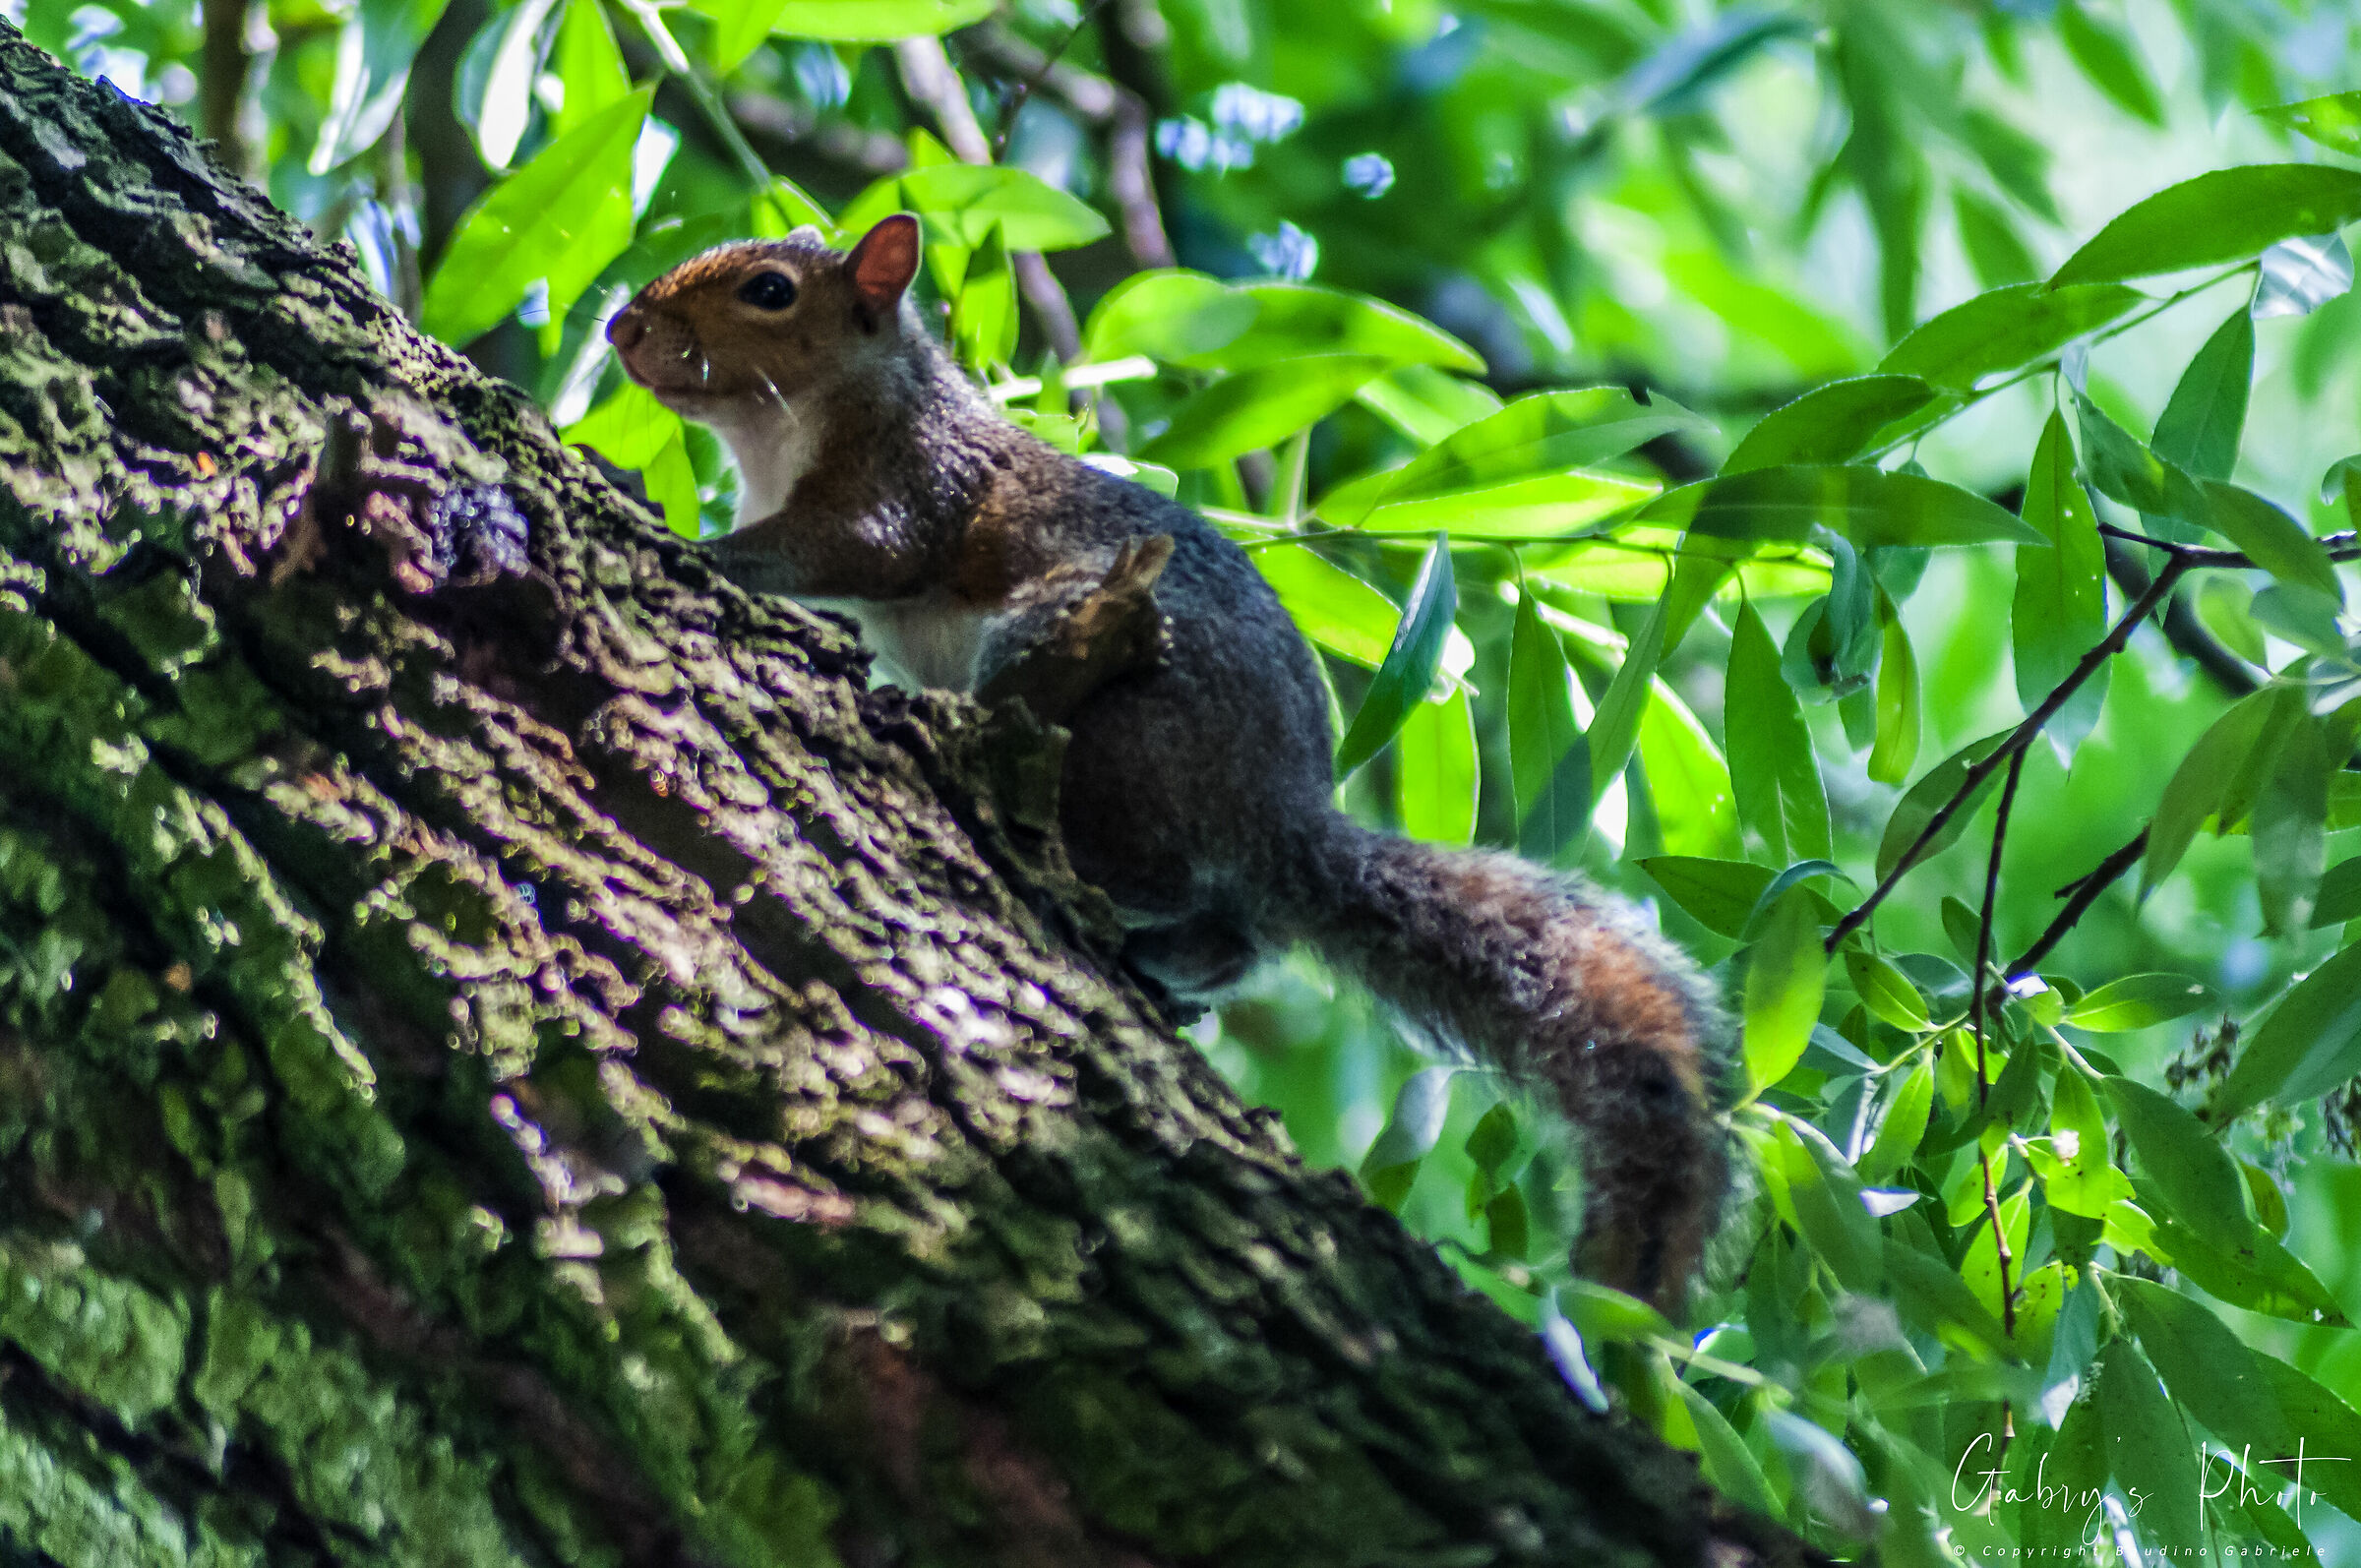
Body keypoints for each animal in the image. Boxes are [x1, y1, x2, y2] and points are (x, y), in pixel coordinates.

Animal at [606, 214, 1732, 1314]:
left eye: (768, 291)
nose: (622, 326)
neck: (803, 420)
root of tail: (1280, 820)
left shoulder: (908, 489)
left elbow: (845, 551)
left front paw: (694, 538)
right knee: (1234, 934)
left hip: (1098, 693)